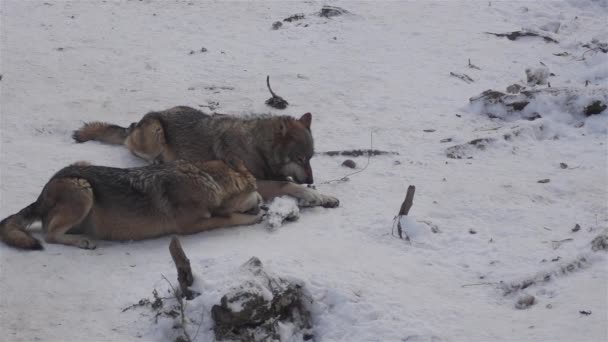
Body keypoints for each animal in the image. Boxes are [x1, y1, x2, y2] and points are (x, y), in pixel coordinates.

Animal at [0, 159, 262, 250]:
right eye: (257, 189)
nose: (263, 201)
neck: (208, 179)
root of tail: (43, 191)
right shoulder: (191, 226)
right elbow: (229, 218)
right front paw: (256, 218)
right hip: (83, 189)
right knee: (49, 235)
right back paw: (83, 242)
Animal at [73, 106, 340, 208]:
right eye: (299, 158)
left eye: (310, 158)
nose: (310, 179)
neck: (257, 148)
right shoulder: (257, 182)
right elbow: (288, 184)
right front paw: (312, 194)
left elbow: (290, 182)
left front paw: (324, 195)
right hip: (155, 133)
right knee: (129, 142)